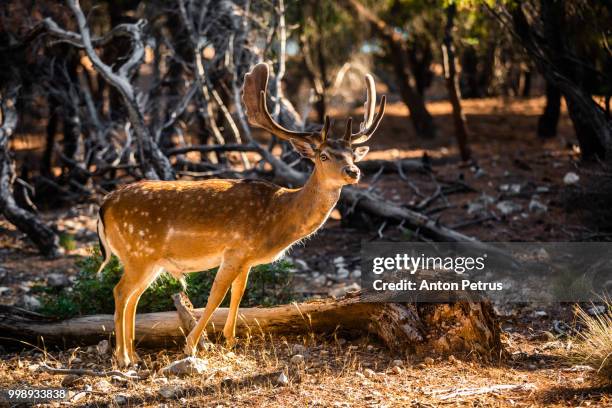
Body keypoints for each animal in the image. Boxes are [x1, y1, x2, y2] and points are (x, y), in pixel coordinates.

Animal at [96, 62, 384, 368]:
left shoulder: (247, 258)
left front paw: (231, 340)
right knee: (120, 292)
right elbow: (216, 295)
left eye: (352, 154)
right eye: (324, 156)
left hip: (149, 261)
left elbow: (238, 293)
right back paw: (123, 358)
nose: (353, 171)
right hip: (138, 253)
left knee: (133, 296)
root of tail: (104, 205)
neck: (278, 215)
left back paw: (134, 354)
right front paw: (191, 345)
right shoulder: (234, 250)